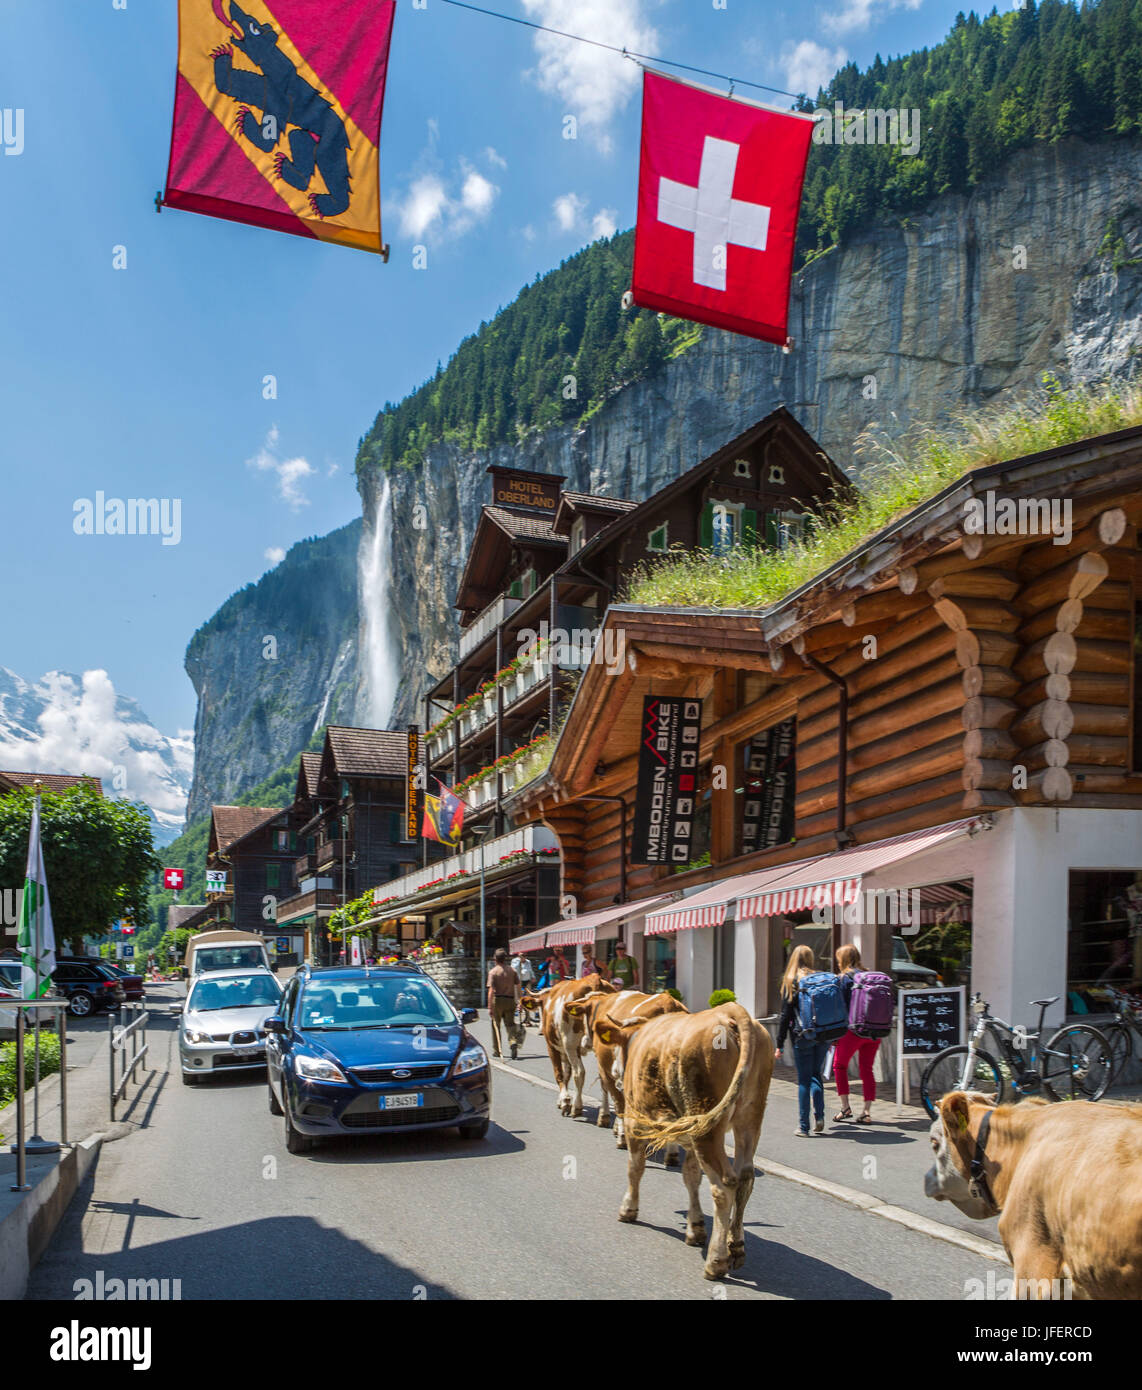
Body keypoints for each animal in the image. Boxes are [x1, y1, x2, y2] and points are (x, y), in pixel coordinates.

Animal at [525, 978, 622, 1117]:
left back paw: (577, 1106)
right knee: (605, 1078)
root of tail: (594, 979)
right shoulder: (566, 1052)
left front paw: (565, 1101)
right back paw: (604, 1114)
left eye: (541, 1007)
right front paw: (562, 1100)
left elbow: (560, 1073)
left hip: (571, 1044)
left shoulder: (552, 1047)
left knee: (580, 1073)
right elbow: (567, 1074)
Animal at [600, 1000, 778, 1278]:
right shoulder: (690, 1139)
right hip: (749, 1118)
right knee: (745, 1178)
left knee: (724, 1186)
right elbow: (691, 1176)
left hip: (707, 1125)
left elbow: (635, 1167)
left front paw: (628, 1208)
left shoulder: (634, 1121)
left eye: (618, 1047)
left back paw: (716, 1261)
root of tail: (730, 1011)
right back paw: (736, 1246)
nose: (616, 1074)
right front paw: (696, 1227)